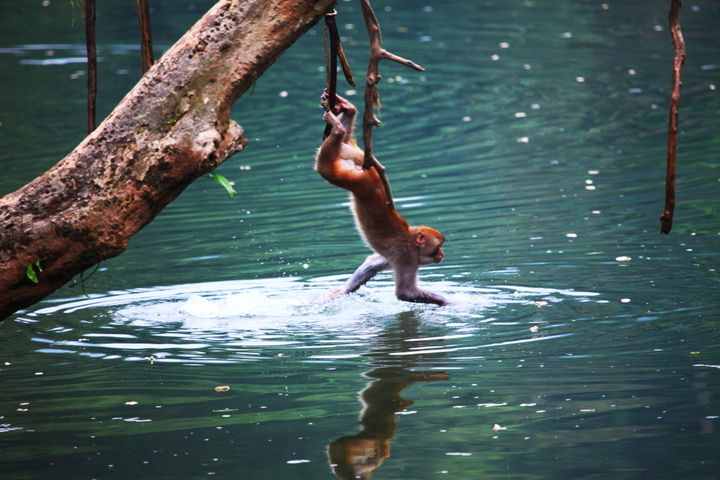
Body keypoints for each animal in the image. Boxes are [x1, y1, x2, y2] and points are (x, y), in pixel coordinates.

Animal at [316, 92, 448, 306]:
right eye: (437, 248)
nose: (442, 255)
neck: (412, 241)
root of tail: (370, 172)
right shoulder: (407, 258)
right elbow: (405, 293)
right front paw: (450, 302)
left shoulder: (391, 258)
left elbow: (370, 265)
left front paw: (341, 291)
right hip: (357, 181)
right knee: (327, 169)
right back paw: (338, 129)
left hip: (357, 166)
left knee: (346, 145)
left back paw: (347, 114)